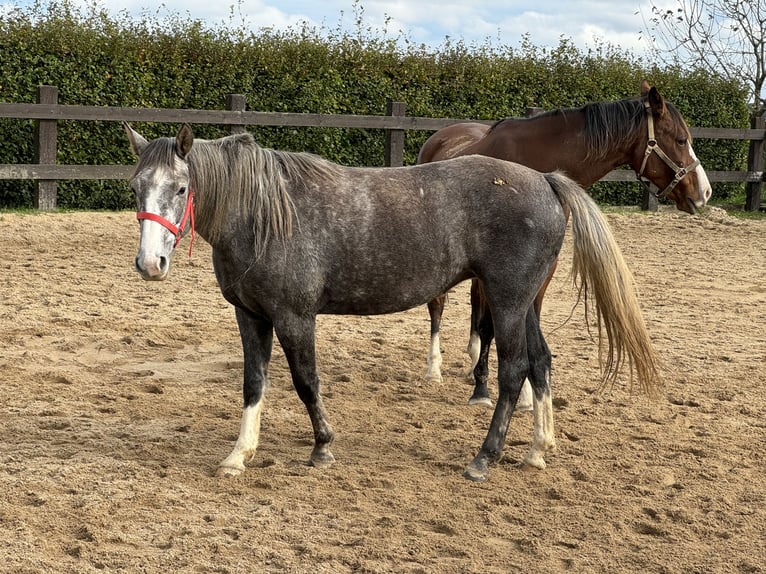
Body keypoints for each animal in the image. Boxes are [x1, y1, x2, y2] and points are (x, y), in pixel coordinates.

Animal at [124, 124, 660, 484]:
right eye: (136, 187)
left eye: (181, 188)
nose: (150, 264)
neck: (265, 215)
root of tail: (547, 180)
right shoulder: (251, 316)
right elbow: (254, 384)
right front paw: (240, 454)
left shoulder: (294, 317)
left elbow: (305, 382)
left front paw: (322, 447)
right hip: (525, 301)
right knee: (542, 361)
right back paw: (537, 449)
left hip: (506, 302)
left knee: (513, 371)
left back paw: (484, 458)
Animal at [420, 81, 712, 408]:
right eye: (681, 140)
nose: (705, 192)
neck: (531, 166)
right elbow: (489, 326)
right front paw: (482, 390)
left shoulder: (541, 268)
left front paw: (525, 395)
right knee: (438, 305)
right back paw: (435, 368)